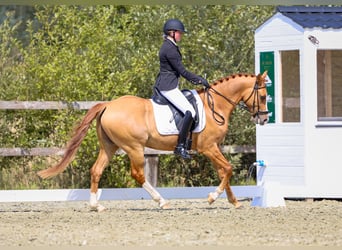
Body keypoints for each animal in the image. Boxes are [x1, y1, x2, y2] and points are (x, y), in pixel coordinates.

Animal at [38, 71, 270, 210]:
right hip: (134, 147)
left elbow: (224, 172)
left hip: (109, 147)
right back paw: (162, 201)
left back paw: (97, 206)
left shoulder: (214, 148)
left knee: (96, 170)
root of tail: (108, 105)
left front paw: (233, 201)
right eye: (263, 97)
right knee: (138, 174)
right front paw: (213, 197)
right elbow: (229, 169)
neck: (216, 105)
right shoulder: (209, 148)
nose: (264, 119)